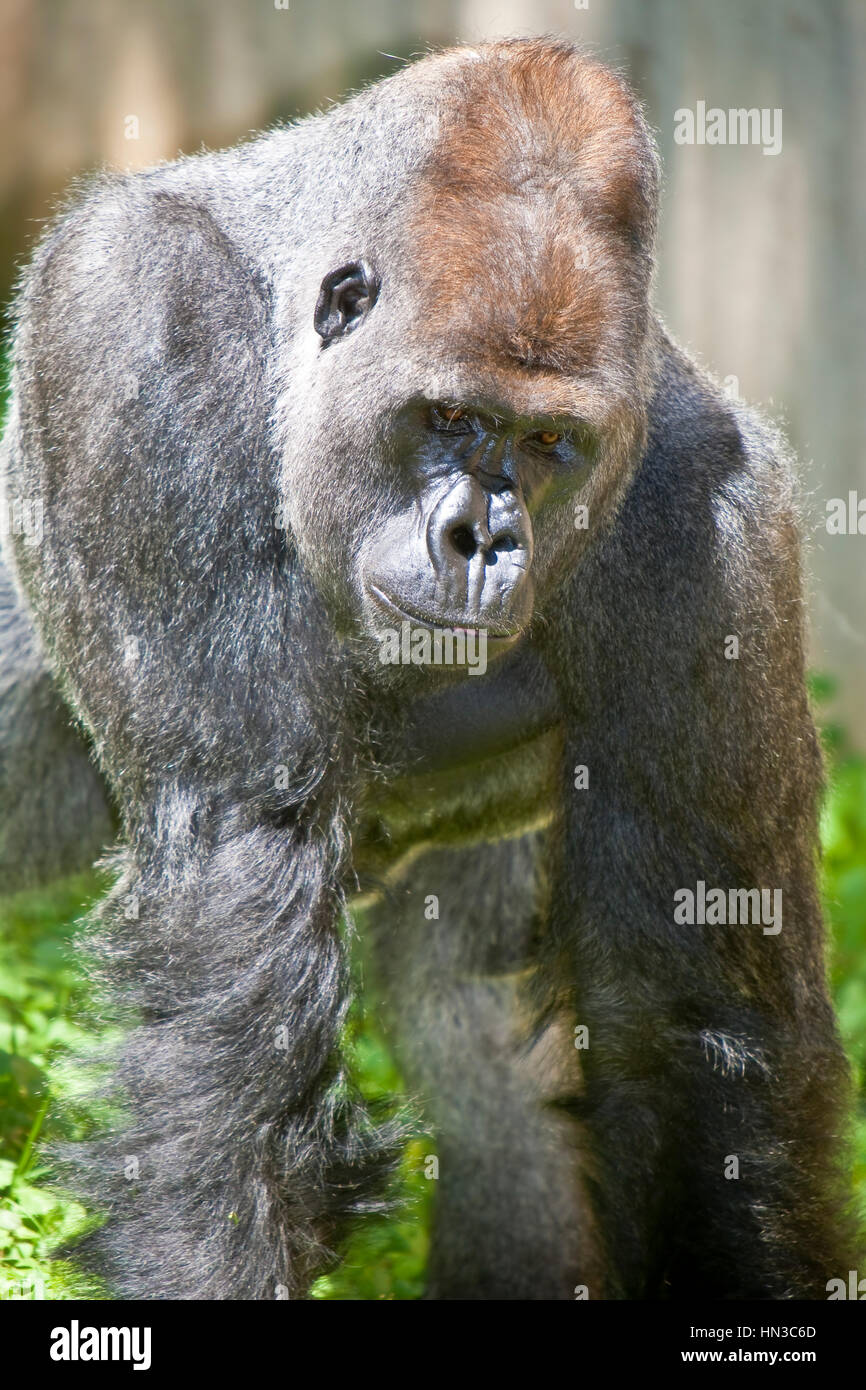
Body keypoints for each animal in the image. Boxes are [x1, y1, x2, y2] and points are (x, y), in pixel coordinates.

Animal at [0, 37, 858, 1300]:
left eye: (550, 443)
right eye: (447, 416)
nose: (478, 540)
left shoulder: (715, 511)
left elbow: (688, 1008)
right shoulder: (139, 324)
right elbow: (231, 917)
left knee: (487, 1067)